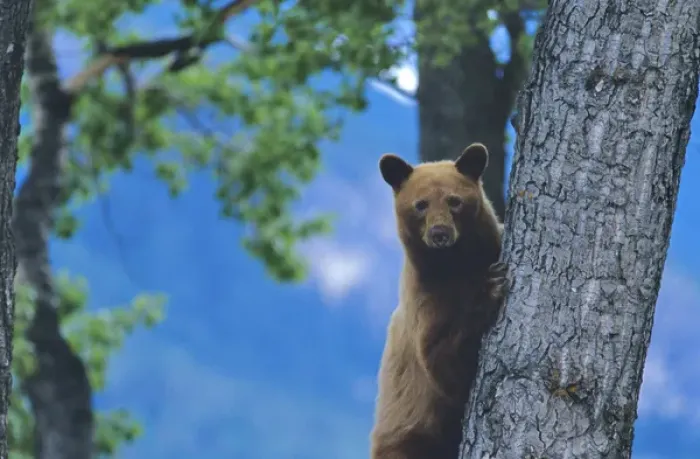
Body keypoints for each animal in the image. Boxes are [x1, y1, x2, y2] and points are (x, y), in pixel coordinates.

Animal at [369, 143, 507, 459]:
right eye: (420, 204)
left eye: (454, 201)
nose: (439, 233)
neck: (454, 265)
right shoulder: (426, 297)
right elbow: (441, 360)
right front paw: (491, 289)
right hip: (407, 439)